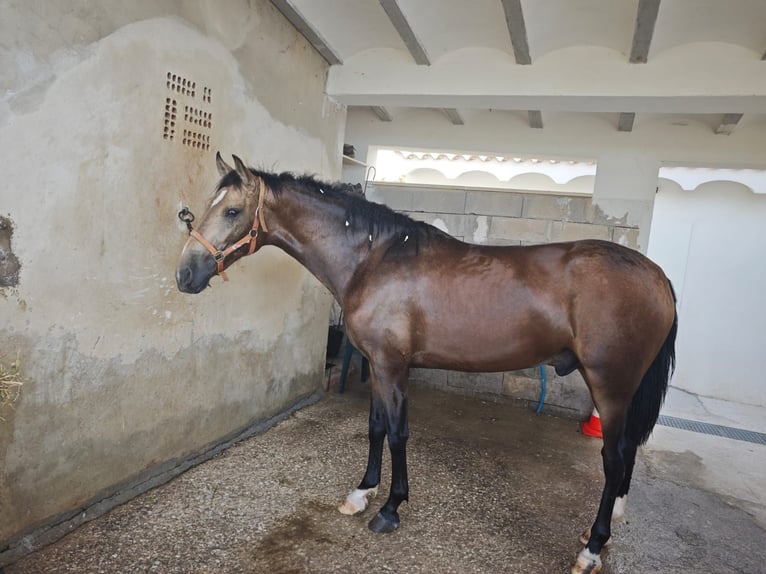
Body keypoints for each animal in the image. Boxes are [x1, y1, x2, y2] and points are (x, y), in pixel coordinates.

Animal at [176, 154, 677, 574]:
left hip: (610, 385)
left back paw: (591, 548)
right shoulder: (377, 365)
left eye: (232, 212)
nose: (184, 274)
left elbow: (398, 433)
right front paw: (362, 493)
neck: (373, 259)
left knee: (613, 458)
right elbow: (377, 427)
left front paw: (390, 508)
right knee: (627, 453)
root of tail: (656, 274)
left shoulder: (393, 366)